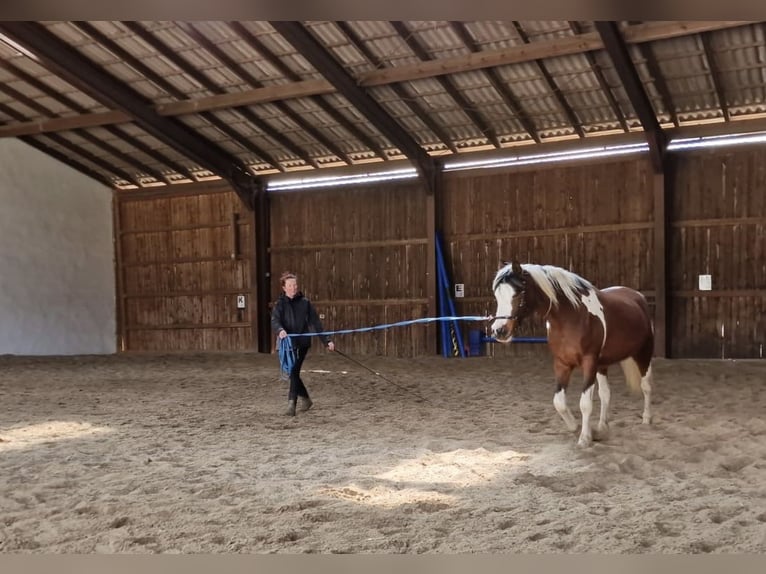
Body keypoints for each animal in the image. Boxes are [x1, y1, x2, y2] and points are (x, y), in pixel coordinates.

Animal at [492, 262, 656, 450]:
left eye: (518, 293)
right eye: (497, 295)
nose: (499, 331)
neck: (572, 316)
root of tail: (638, 297)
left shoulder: (589, 363)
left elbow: (585, 404)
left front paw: (584, 438)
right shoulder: (562, 364)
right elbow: (559, 402)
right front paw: (575, 426)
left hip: (643, 354)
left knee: (646, 386)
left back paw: (646, 419)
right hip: (603, 365)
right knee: (606, 393)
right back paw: (602, 427)